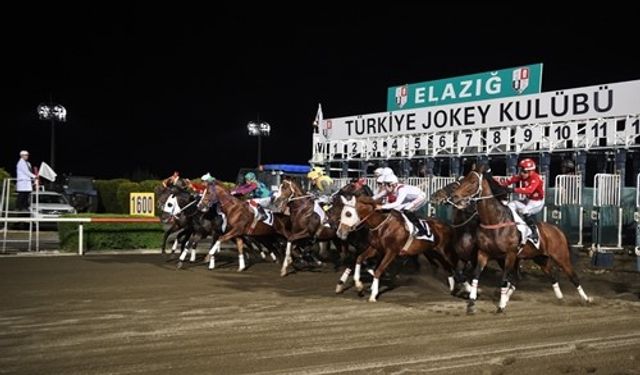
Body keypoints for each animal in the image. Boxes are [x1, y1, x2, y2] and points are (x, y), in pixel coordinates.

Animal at [448, 164, 592, 314]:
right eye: (463, 179)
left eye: (473, 182)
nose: (454, 196)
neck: (494, 221)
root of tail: (557, 230)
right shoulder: (483, 253)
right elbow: (475, 276)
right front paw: (471, 303)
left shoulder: (510, 255)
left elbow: (504, 280)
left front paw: (501, 306)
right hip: (541, 258)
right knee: (550, 277)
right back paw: (560, 298)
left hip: (561, 256)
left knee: (573, 277)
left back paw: (586, 299)